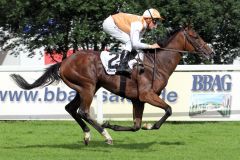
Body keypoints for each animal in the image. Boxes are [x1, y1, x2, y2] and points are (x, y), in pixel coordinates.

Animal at [10, 26, 213, 145]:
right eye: (195, 36)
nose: (210, 51)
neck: (158, 63)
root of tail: (64, 62)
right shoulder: (146, 95)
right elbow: (169, 109)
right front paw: (150, 125)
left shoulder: (138, 100)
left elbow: (136, 125)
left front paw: (115, 124)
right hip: (87, 87)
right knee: (83, 111)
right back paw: (105, 135)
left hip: (86, 88)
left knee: (71, 109)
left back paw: (88, 135)